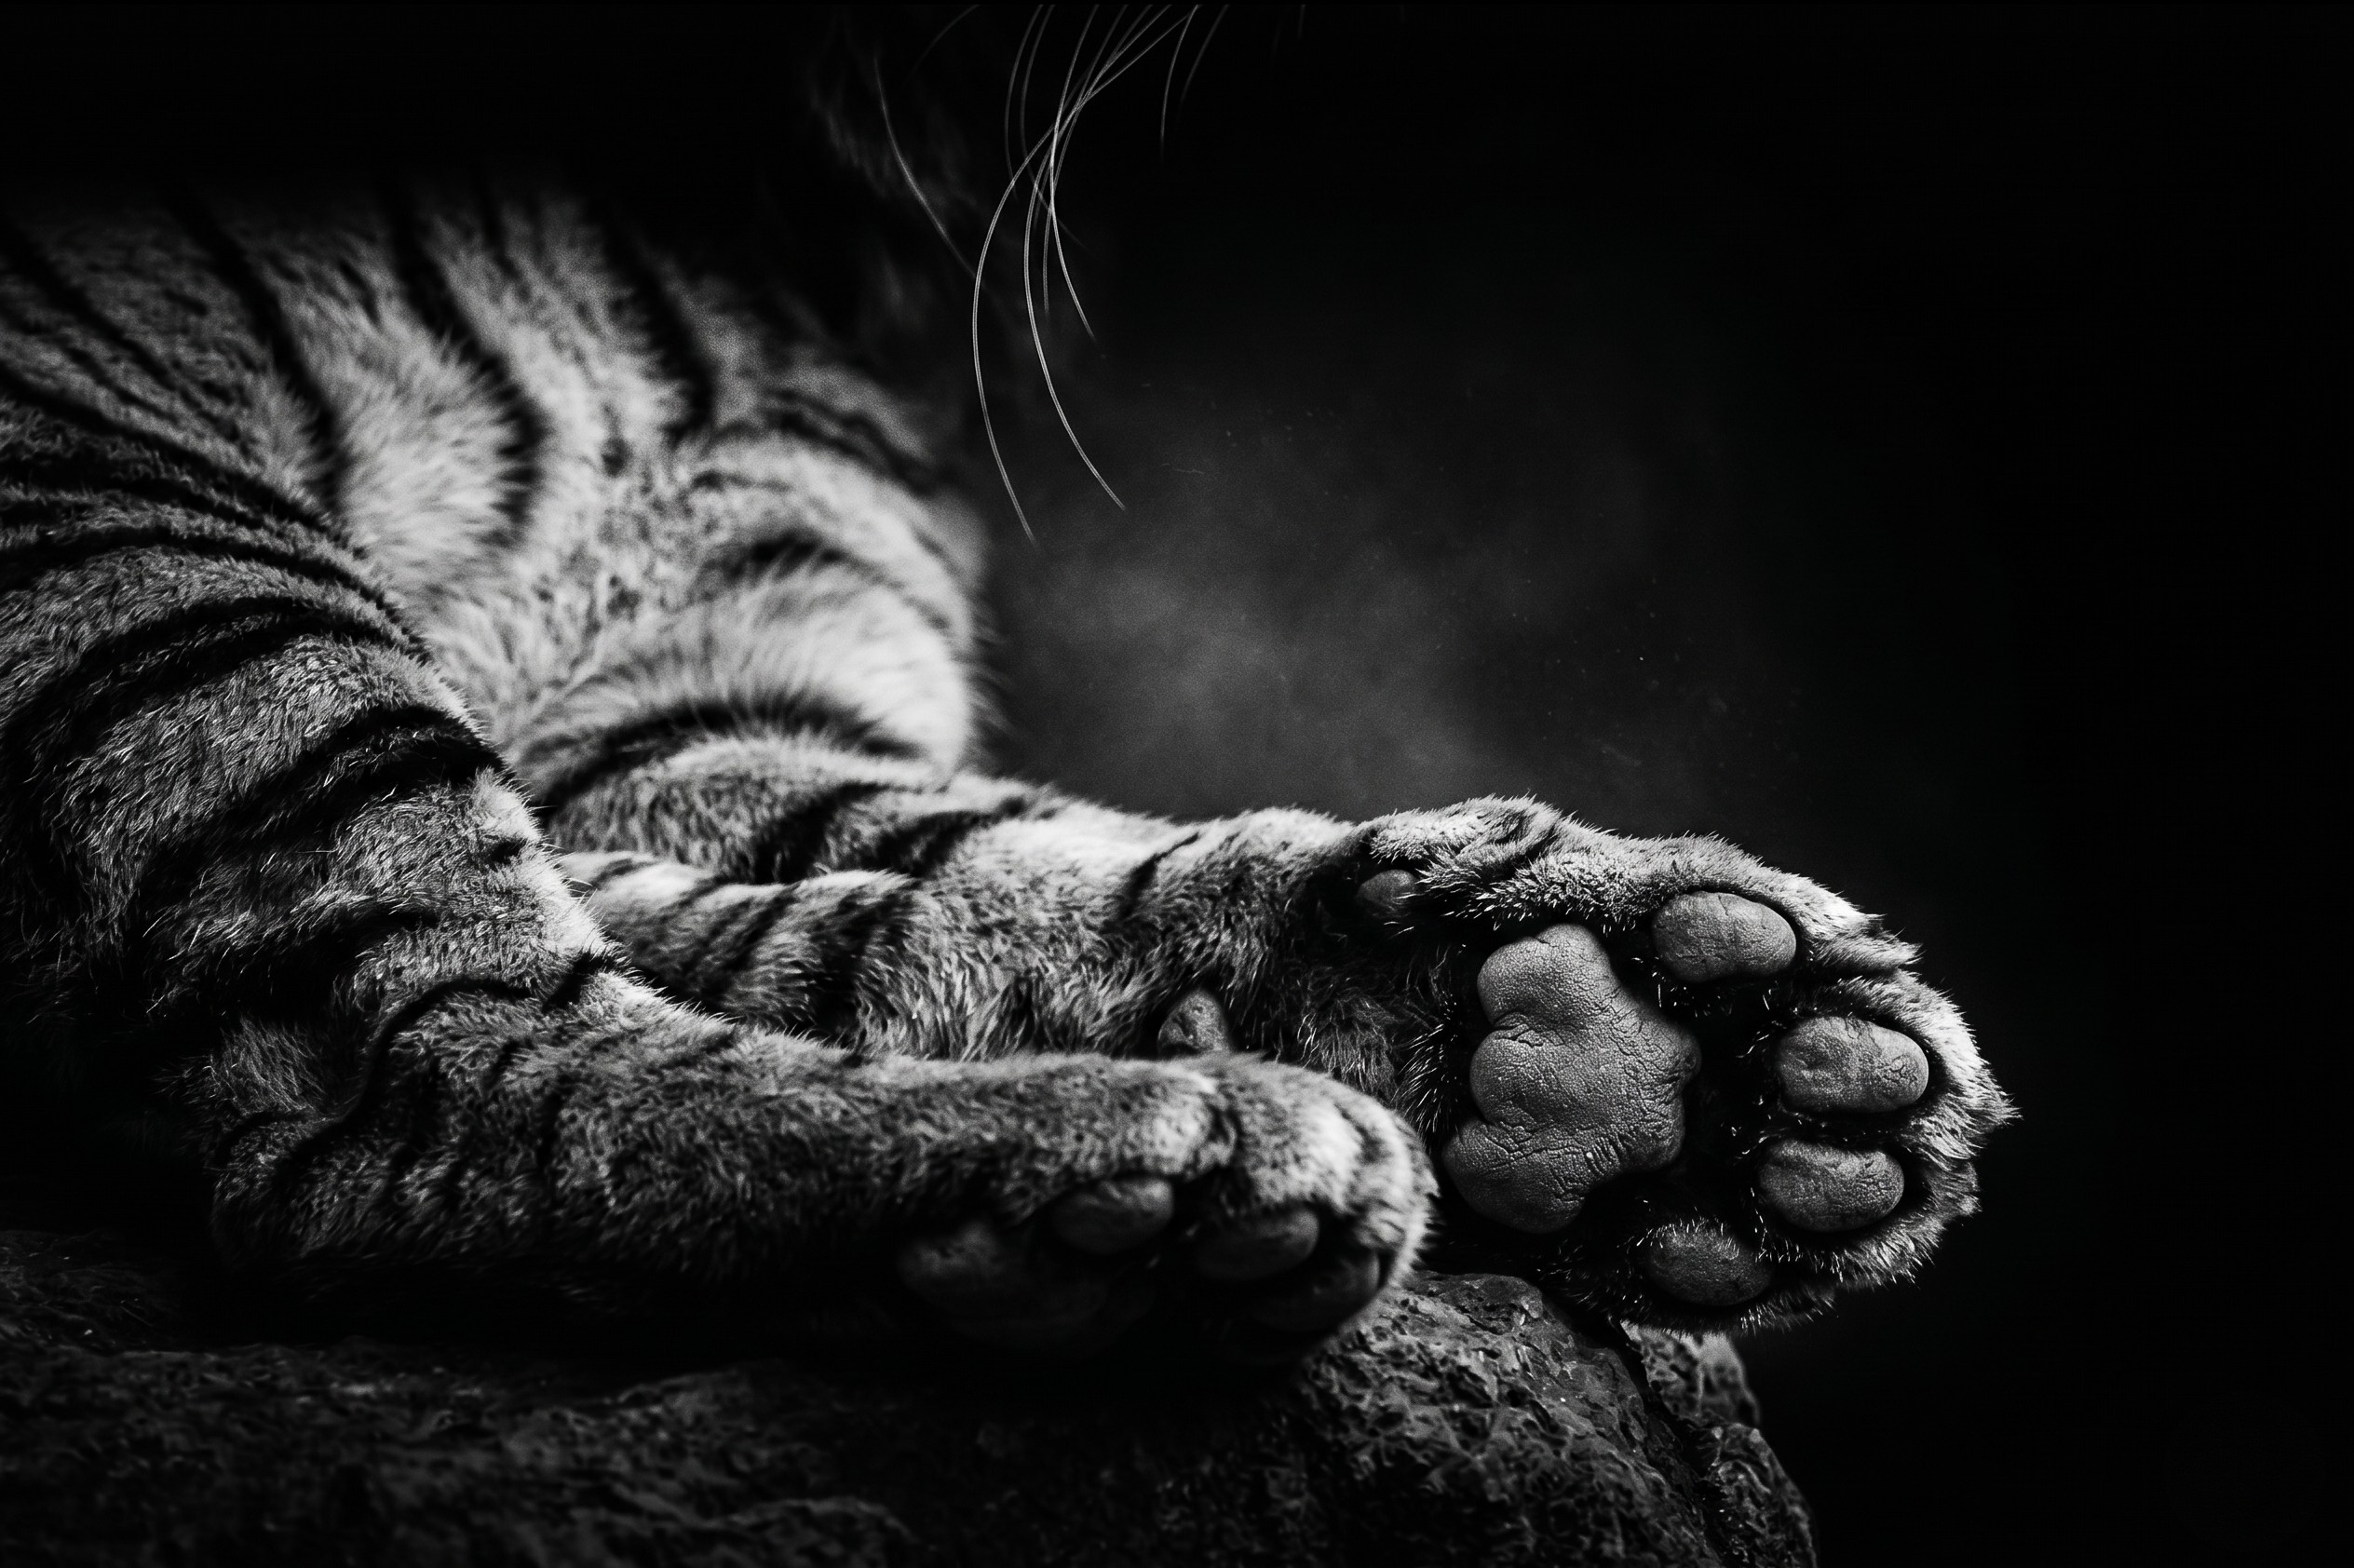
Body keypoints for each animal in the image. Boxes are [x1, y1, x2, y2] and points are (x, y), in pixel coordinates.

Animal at [0, 13, 2009, 1370]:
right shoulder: (85, 426)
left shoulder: (698, 693)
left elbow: (960, 850)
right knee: (410, 1105)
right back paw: (1133, 1163)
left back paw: (1614, 1046)